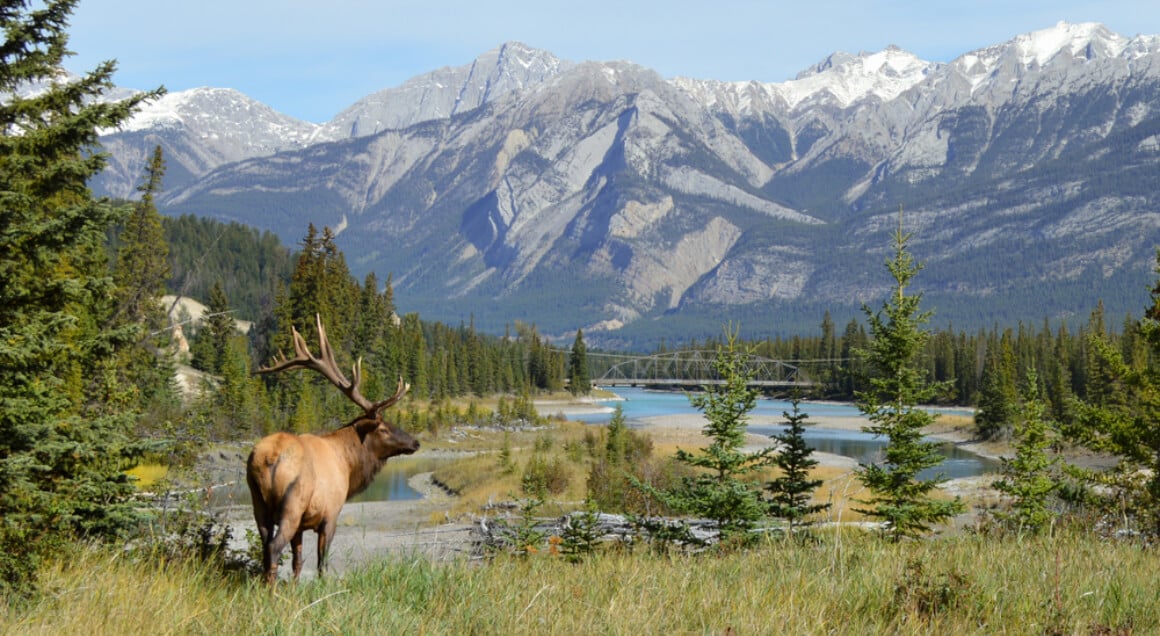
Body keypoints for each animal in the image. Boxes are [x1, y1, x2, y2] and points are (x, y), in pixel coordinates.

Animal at [247, 315, 419, 584]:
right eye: (383, 428)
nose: (415, 442)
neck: (348, 464)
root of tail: (269, 458)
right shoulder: (331, 514)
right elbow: (321, 563)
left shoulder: (301, 525)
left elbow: (297, 562)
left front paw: (295, 588)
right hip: (292, 503)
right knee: (274, 547)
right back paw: (271, 591)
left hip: (258, 503)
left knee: (266, 546)